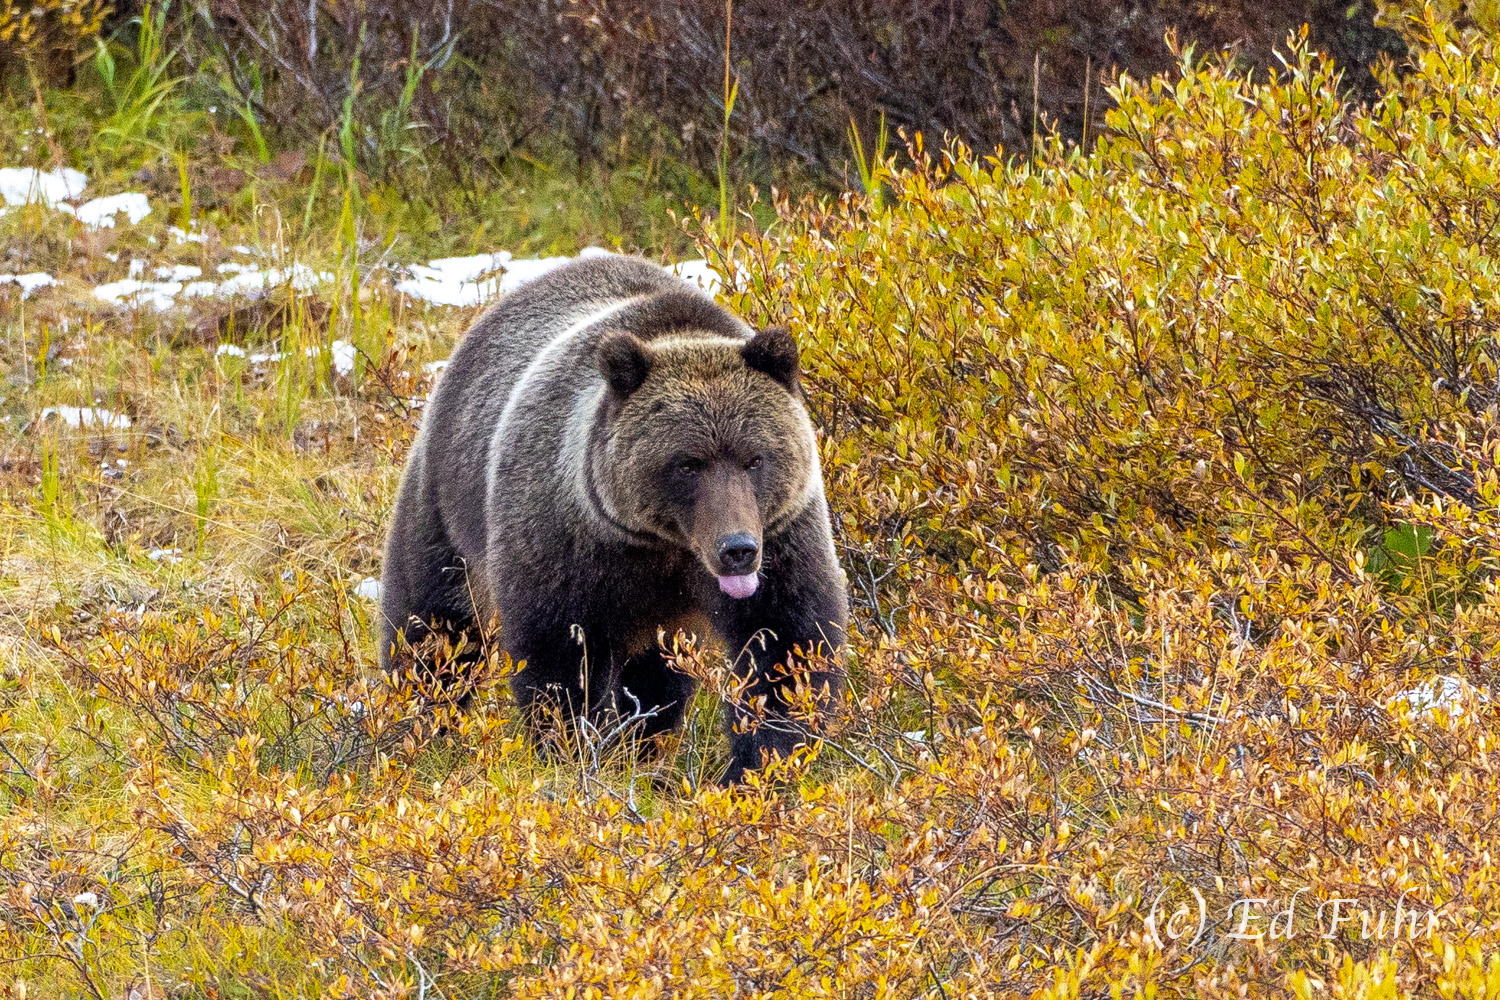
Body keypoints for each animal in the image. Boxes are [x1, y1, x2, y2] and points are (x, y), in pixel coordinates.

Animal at [379, 253, 848, 783]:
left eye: (755, 458)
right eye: (688, 463)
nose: (737, 550)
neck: (665, 546)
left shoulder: (783, 535)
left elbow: (788, 645)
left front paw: (757, 767)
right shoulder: (568, 541)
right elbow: (561, 656)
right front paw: (577, 750)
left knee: (656, 676)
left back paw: (645, 742)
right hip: (448, 499)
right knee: (435, 624)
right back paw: (422, 722)